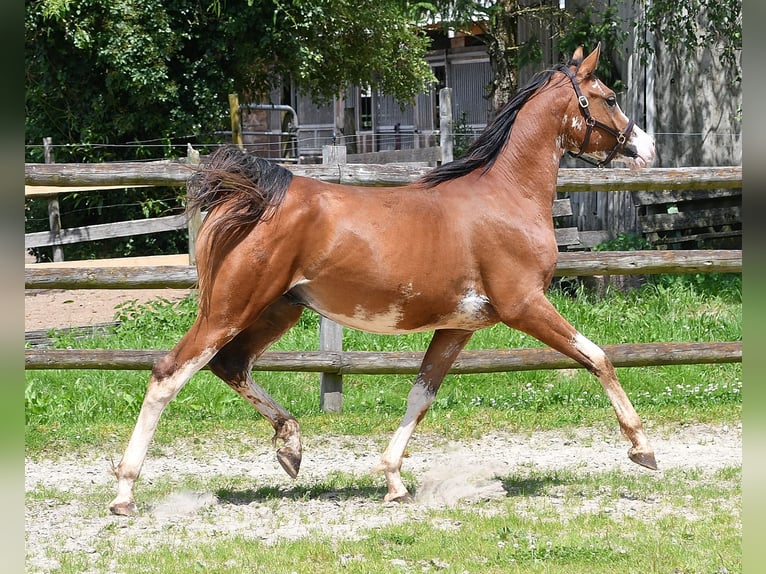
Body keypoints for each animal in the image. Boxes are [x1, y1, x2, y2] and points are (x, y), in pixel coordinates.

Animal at [108, 42, 660, 516]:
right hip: (230, 308)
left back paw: (291, 447)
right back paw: (124, 493)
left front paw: (393, 480)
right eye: (610, 98)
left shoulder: (457, 326)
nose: (648, 147)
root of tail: (251, 196)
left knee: (231, 365)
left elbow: (421, 395)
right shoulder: (524, 305)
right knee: (169, 372)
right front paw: (643, 449)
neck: (505, 195)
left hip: (276, 310)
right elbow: (598, 357)